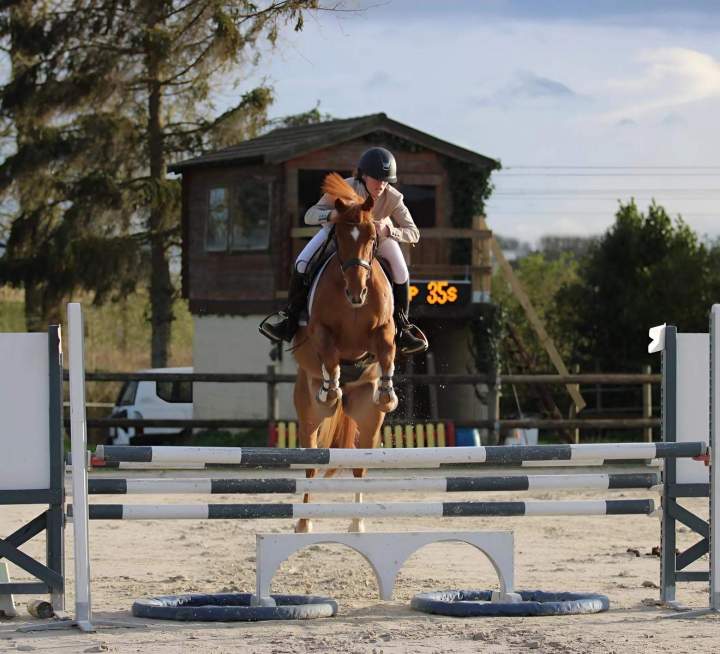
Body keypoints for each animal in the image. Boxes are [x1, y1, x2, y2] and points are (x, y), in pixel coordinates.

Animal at [292, 173, 399, 533]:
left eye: (371, 236)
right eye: (338, 237)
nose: (357, 293)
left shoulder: (384, 330)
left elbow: (387, 350)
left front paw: (388, 393)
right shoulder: (321, 332)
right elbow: (329, 354)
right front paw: (331, 387)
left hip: (368, 417)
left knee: (359, 466)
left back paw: (357, 524)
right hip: (308, 414)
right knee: (310, 464)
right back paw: (304, 524)